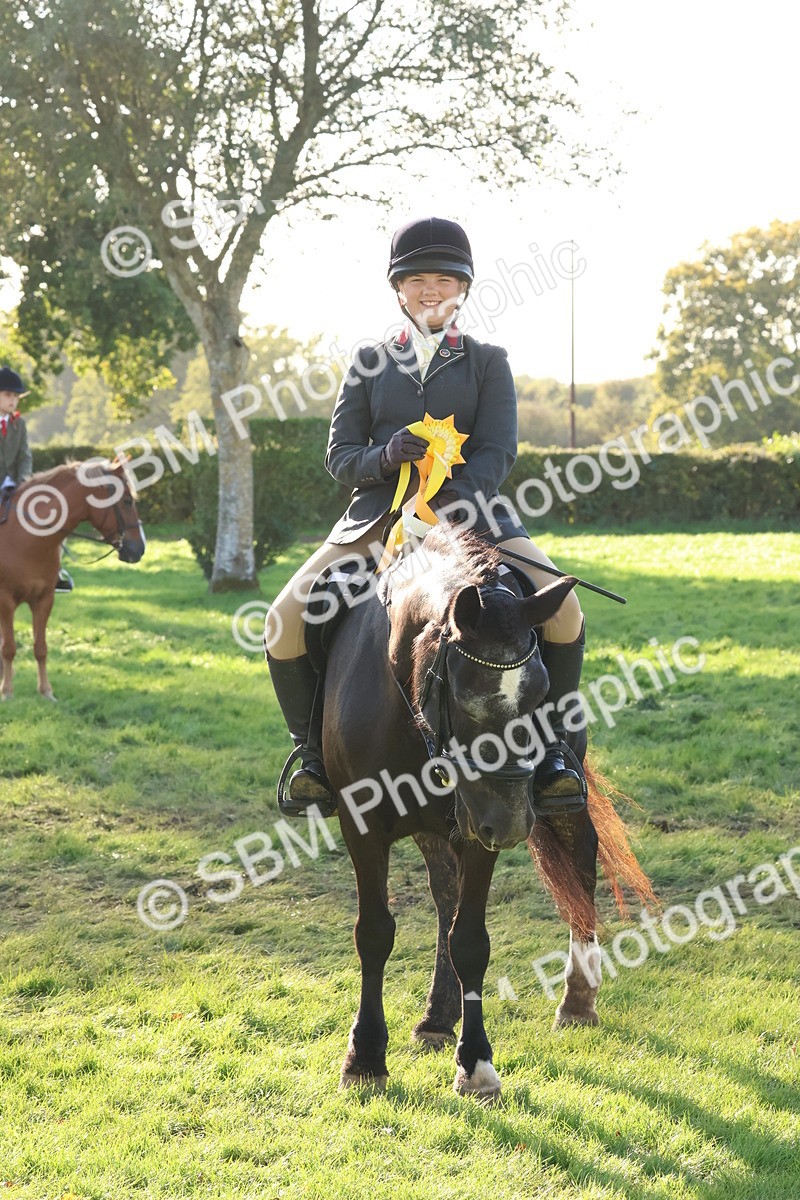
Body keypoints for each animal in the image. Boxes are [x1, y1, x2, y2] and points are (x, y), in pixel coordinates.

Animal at [0, 459, 145, 701]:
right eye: (127, 500)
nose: (139, 549)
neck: (25, 538)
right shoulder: (6, 601)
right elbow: (9, 648)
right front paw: (7, 692)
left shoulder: (44, 599)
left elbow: (41, 648)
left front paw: (46, 692)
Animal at [322, 524, 654, 1100]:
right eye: (464, 696)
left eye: (543, 692)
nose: (515, 825)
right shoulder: (362, 824)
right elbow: (375, 933)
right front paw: (364, 1059)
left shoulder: (480, 828)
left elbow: (471, 941)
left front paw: (475, 1064)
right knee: (443, 893)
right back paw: (437, 1017)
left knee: (580, 859)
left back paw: (577, 1000)